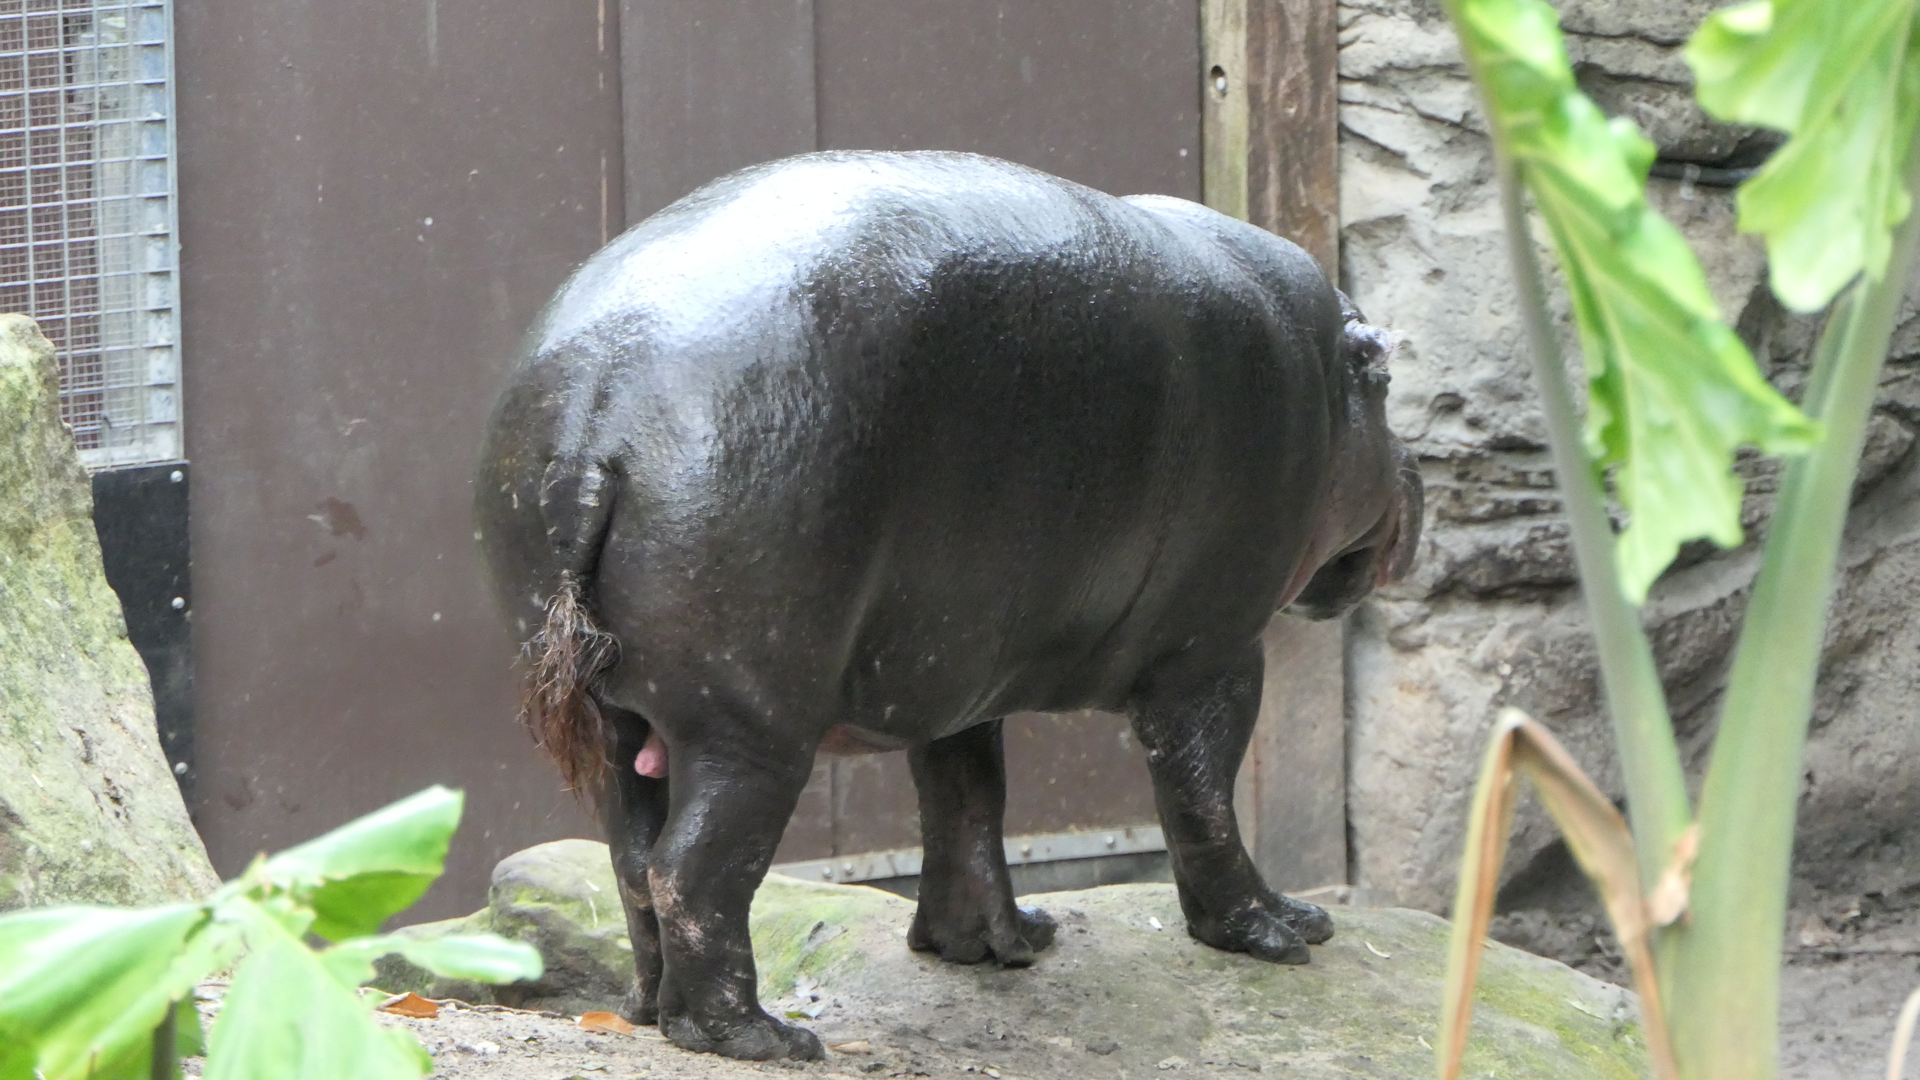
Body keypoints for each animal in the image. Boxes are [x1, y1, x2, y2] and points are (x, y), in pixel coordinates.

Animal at [474, 151, 1421, 1061]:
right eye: (1383, 378)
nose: (1418, 473)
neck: (1317, 368)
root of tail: (597, 412)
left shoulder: (955, 661)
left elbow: (965, 797)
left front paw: (999, 943)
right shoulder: (1213, 652)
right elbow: (1203, 796)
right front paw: (1286, 932)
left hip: (622, 717)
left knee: (631, 859)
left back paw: (647, 1012)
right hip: (748, 725)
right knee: (691, 870)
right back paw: (761, 1038)